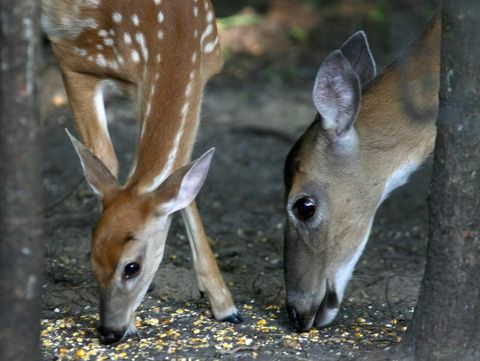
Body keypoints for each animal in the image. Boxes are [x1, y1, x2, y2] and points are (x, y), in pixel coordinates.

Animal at [42, 0, 240, 344]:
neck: (173, 37)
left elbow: (183, 178)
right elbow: (105, 157)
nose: (109, 332)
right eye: (91, 258)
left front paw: (224, 304)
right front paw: (133, 324)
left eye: (131, 267)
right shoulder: (72, 54)